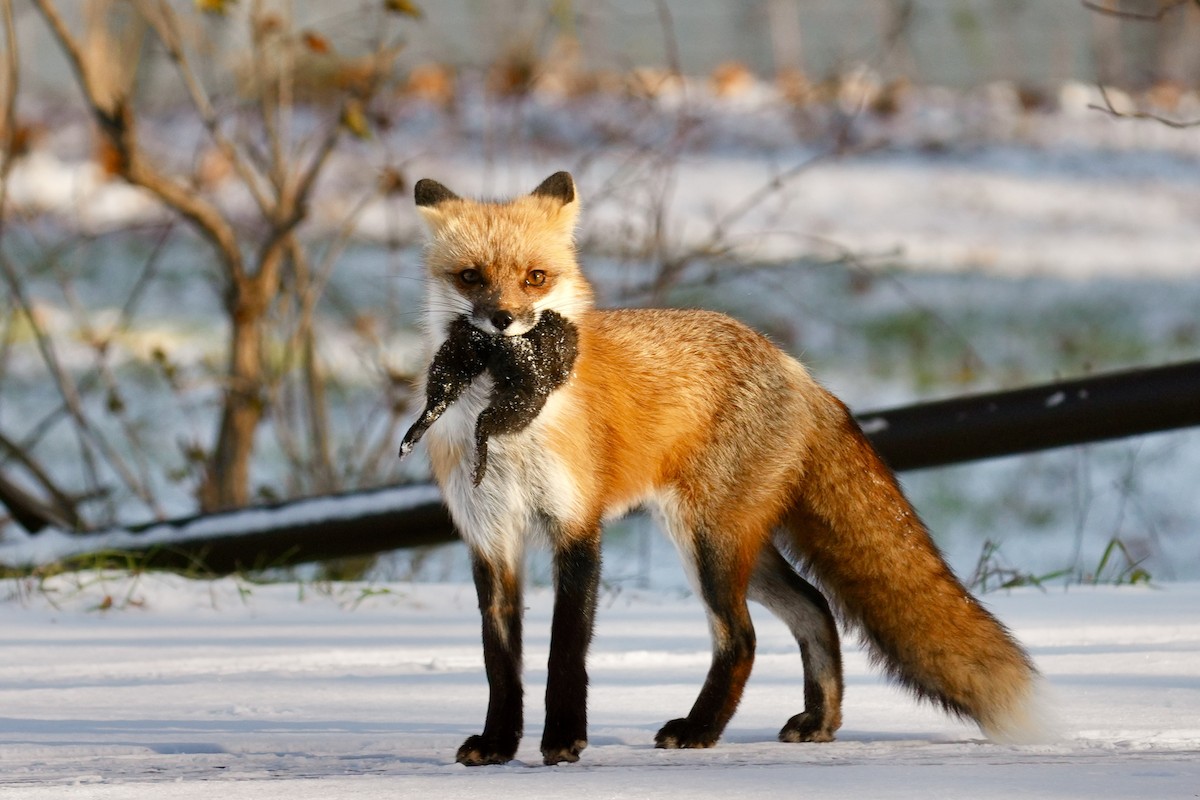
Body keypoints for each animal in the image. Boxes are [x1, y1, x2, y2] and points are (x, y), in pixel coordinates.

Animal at [410, 170, 1044, 767]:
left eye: (535, 277)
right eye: (471, 277)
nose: (503, 320)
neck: (508, 420)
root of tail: (797, 368)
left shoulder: (578, 528)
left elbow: (565, 649)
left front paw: (564, 740)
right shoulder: (491, 540)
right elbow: (500, 663)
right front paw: (498, 743)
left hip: (709, 543)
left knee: (743, 637)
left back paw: (700, 730)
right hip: (734, 546)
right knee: (814, 606)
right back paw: (819, 721)